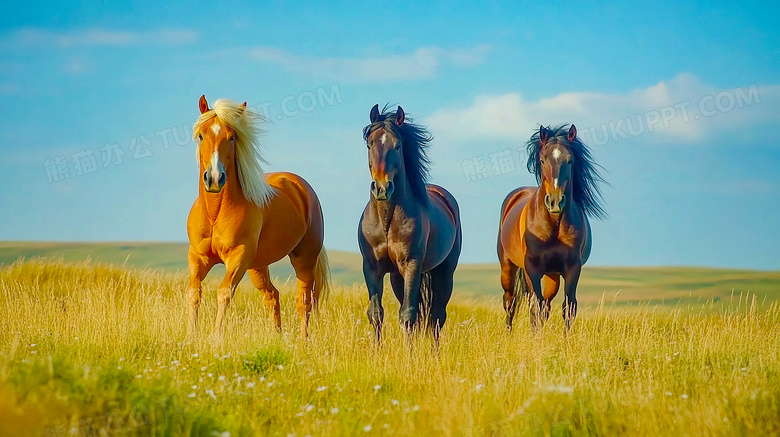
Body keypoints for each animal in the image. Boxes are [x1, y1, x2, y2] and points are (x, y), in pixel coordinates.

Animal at [187, 95, 330, 338]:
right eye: (201, 135)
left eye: (232, 137)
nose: (214, 178)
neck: (215, 212)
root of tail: (301, 187)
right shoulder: (198, 257)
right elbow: (194, 292)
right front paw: (190, 336)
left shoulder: (238, 257)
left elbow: (224, 293)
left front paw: (215, 338)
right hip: (258, 266)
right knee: (272, 295)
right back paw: (277, 337)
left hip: (304, 259)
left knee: (304, 299)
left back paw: (303, 340)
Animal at [360, 104, 464, 342]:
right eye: (369, 144)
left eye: (397, 146)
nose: (382, 188)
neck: (386, 220)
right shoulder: (372, 267)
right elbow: (376, 313)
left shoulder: (411, 265)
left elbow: (408, 315)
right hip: (397, 277)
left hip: (444, 272)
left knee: (436, 317)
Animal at [496, 124, 608, 328]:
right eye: (542, 160)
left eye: (570, 160)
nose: (555, 202)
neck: (553, 225)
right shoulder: (532, 268)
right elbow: (535, 306)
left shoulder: (572, 268)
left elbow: (568, 307)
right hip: (508, 267)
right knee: (510, 302)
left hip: (552, 276)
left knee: (546, 306)